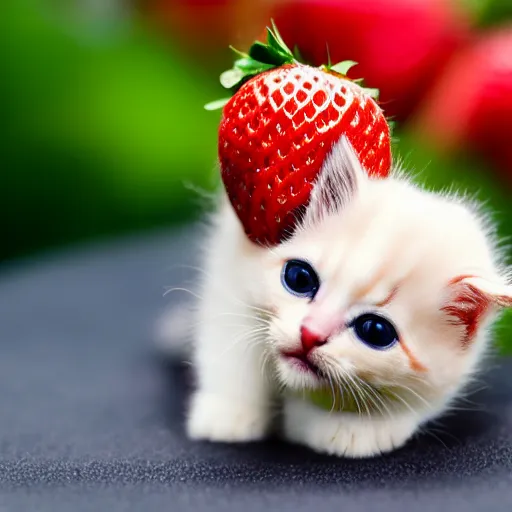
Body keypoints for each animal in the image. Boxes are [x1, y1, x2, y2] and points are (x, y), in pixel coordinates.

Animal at [163, 137, 512, 460]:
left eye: (375, 331)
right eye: (300, 279)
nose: (310, 334)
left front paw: (353, 428)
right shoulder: (233, 266)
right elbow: (231, 347)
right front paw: (229, 413)